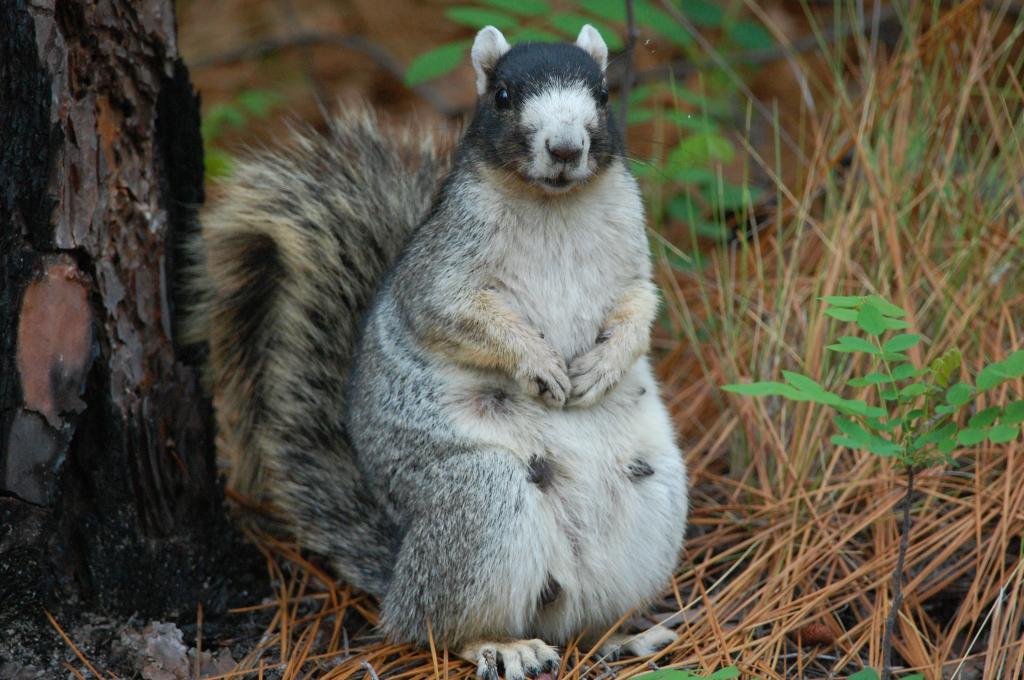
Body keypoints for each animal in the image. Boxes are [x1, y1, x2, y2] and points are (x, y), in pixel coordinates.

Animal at [188, 25, 692, 680]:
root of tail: (400, 575)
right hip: (480, 499)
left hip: (653, 509)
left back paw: (623, 637)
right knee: (433, 626)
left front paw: (602, 366)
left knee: (581, 618)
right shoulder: (441, 272)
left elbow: (642, 307)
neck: (554, 207)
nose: (564, 148)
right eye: (502, 96)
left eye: (604, 94)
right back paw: (501, 645)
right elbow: (458, 314)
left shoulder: (633, 256)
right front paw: (540, 366)